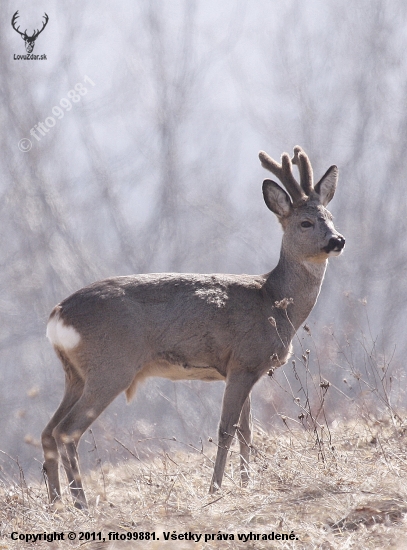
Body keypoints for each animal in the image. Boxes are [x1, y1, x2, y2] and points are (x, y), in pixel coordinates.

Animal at [43, 146, 346, 508]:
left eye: (331, 217)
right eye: (305, 222)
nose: (338, 241)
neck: (273, 300)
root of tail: (58, 315)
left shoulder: (244, 369)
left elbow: (247, 431)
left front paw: (246, 485)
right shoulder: (245, 360)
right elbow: (226, 429)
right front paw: (215, 489)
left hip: (75, 373)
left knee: (48, 431)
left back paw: (56, 503)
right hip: (111, 366)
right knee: (67, 430)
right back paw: (81, 503)